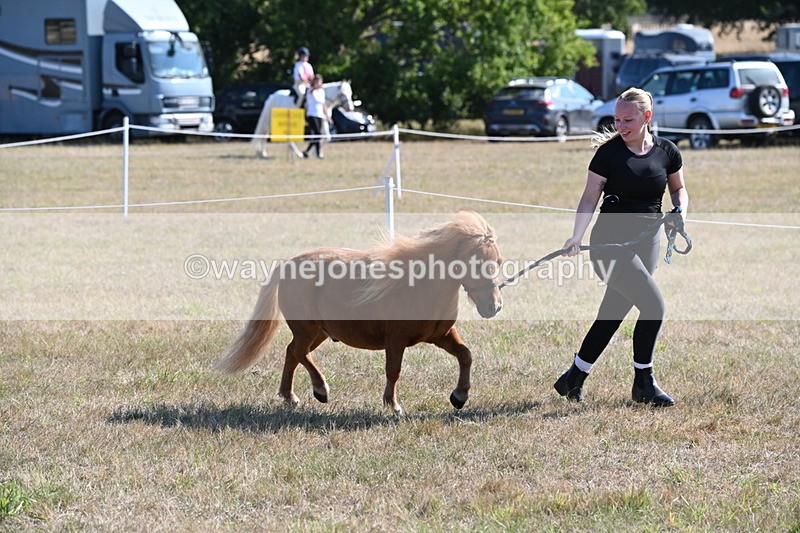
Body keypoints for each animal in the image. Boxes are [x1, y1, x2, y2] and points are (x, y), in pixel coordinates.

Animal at [216, 211, 504, 415]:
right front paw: (392, 405)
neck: (421, 285)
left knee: (292, 352)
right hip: (307, 329)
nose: (494, 306)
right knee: (299, 352)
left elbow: (465, 355)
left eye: (498, 262)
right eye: (477, 262)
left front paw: (459, 396)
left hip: (319, 331)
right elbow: (393, 370)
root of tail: (287, 265)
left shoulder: (441, 336)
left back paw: (290, 397)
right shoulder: (395, 340)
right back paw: (320, 389)